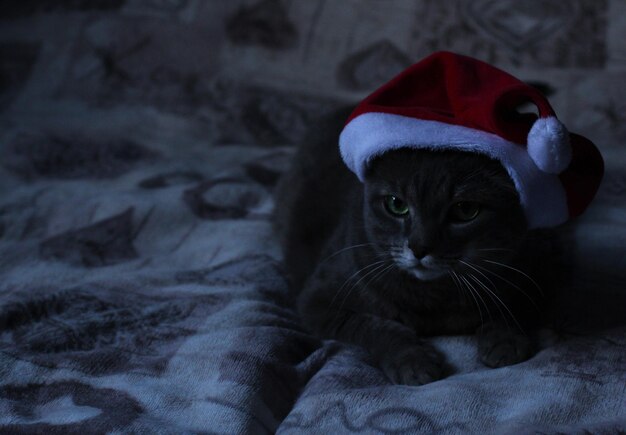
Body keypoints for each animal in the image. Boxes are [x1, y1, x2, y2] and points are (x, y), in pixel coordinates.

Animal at [276, 107, 560, 386]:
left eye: (466, 210)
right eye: (396, 204)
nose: (419, 247)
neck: (435, 300)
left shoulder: (535, 267)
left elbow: (515, 304)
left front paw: (505, 340)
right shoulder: (318, 300)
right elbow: (372, 325)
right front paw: (411, 361)